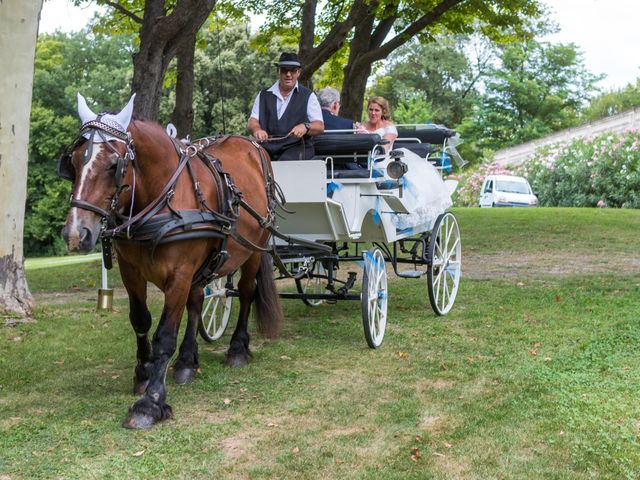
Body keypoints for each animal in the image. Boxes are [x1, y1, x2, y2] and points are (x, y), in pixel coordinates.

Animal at [58, 93, 284, 428]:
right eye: (73, 162)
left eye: (114, 165)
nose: (76, 234)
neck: (161, 199)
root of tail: (251, 145)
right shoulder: (131, 271)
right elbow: (140, 320)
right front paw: (144, 373)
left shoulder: (180, 273)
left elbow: (164, 335)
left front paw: (150, 403)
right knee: (196, 301)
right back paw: (187, 361)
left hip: (253, 249)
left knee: (246, 293)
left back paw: (237, 349)